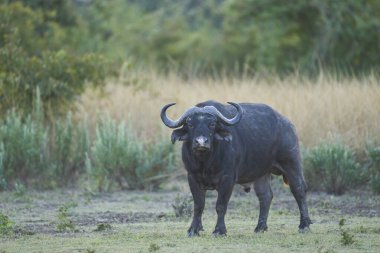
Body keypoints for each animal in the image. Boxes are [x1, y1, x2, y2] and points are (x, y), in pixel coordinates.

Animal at [160, 100, 312, 235]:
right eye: (190, 124)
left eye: (212, 124)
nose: (201, 142)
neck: (206, 162)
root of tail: (288, 124)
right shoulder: (192, 177)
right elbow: (198, 206)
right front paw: (194, 230)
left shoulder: (228, 179)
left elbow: (221, 205)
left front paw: (219, 231)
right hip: (262, 173)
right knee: (265, 196)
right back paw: (260, 227)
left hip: (291, 163)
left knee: (299, 190)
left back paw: (304, 225)